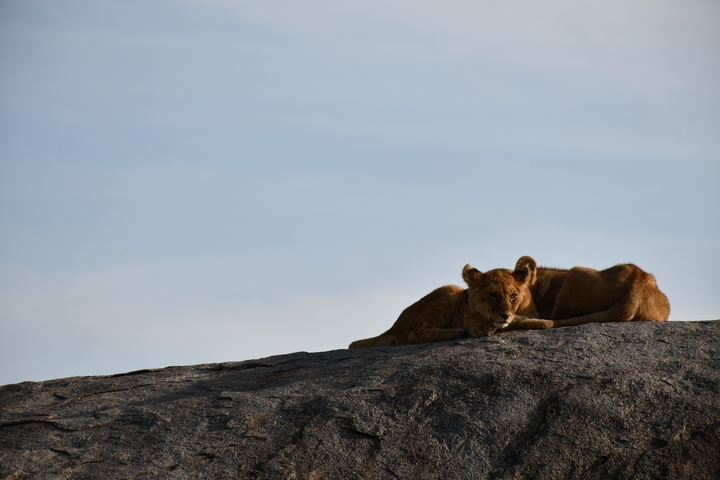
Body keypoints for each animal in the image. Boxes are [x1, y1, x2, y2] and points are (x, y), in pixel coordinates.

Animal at [348, 260, 539, 348]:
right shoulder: (467, 311)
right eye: (493, 295)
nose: (505, 315)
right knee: (416, 334)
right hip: (450, 290)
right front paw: (481, 327)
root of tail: (394, 325)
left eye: (513, 296)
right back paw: (457, 332)